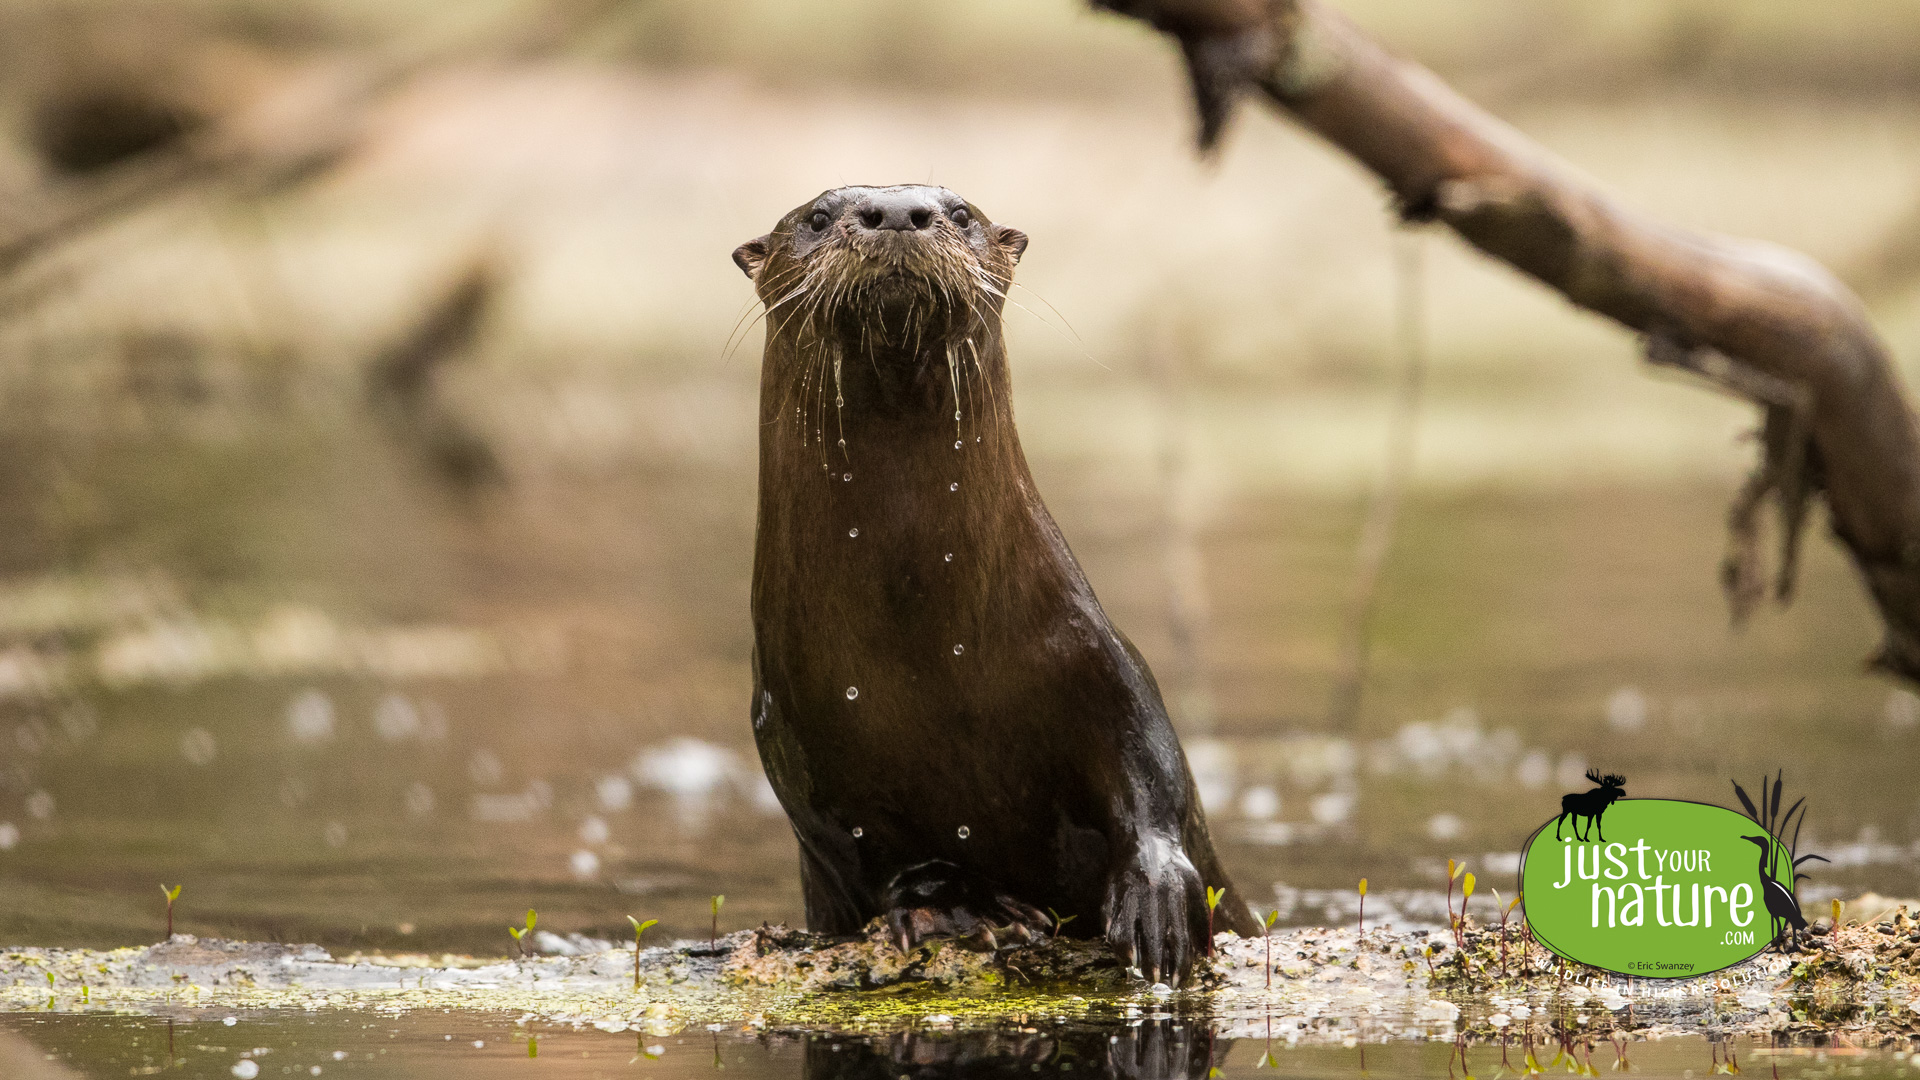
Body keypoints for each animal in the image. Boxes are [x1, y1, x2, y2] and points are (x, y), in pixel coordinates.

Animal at [733, 182, 1259, 976]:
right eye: (818, 217)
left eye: (958, 212)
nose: (898, 212)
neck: (929, 651)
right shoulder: (794, 740)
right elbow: (868, 851)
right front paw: (955, 906)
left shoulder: (1099, 657)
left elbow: (1154, 770)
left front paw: (1159, 904)